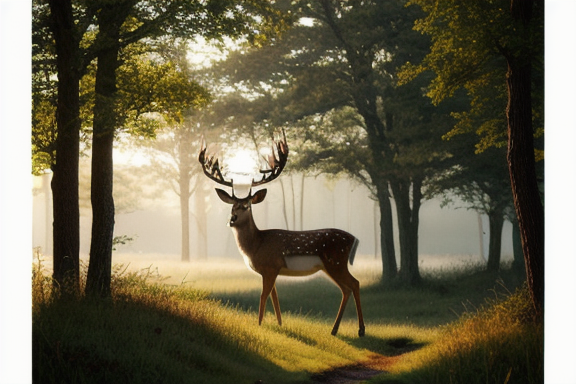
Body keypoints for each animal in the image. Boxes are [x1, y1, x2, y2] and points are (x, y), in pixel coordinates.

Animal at [198, 131, 364, 336]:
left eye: (247, 206)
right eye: (232, 206)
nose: (232, 219)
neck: (256, 245)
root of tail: (354, 239)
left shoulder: (270, 266)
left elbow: (263, 295)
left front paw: (259, 324)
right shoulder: (272, 269)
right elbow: (274, 297)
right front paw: (279, 324)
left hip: (336, 261)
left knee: (354, 284)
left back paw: (360, 330)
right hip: (331, 265)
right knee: (346, 289)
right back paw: (335, 330)